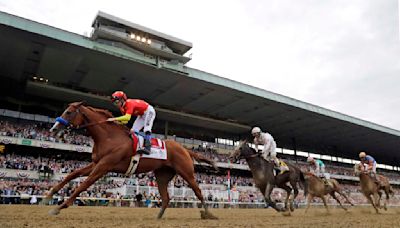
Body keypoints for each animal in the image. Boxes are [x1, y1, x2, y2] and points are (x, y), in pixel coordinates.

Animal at [43, 102, 219, 219]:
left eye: (69, 112)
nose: (53, 128)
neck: (109, 137)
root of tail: (184, 148)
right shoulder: (96, 163)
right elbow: (71, 175)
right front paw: (49, 195)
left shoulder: (104, 166)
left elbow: (83, 185)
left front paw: (60, 207)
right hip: (162, 175)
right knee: (166, 197)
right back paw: (158, 217)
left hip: (187, 172)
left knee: (198, 192)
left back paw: (208, 214)